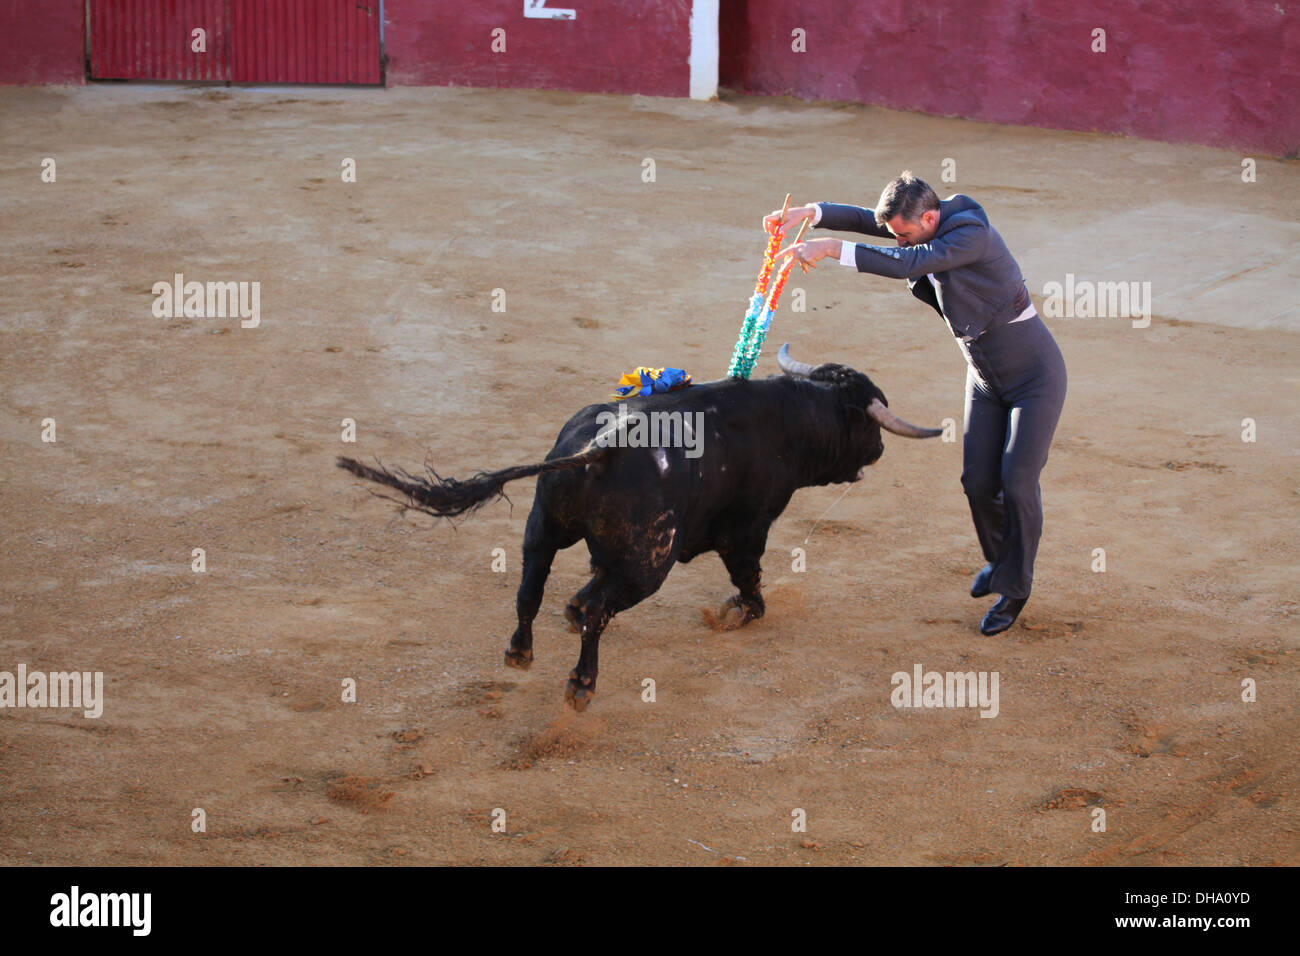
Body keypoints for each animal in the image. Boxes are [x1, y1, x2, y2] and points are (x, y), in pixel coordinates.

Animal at [340, 345, 941, 712]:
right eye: (868, 426)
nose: (880, 449)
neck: (795, 418)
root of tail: (602, 448)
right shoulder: (748, 526)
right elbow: (748, 574)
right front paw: (740, 612)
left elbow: (580, 588)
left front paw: (570, 609)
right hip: (651, 563)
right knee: (601, 611)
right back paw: (581, 685)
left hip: (544, 530)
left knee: (530, 590)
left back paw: (521, 653)